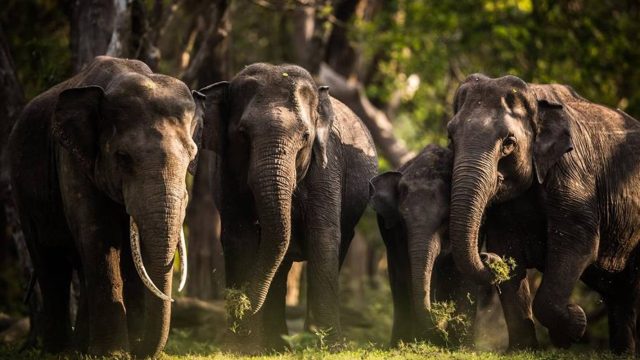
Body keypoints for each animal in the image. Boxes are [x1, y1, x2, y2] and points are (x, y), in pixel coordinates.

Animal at [9, 54, 205, 356]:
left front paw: (127, 349)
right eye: (123, 157)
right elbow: (98, 237)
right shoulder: (72, 161)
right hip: (23, 192)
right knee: (50, 264)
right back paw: (58, 351)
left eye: (192, 156)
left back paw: (80, 349)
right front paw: (113, 354)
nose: (142, 350)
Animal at [200, 63, 378, 350]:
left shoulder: (327, 165)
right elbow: (239, 238)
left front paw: (329, 349)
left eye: (305, 136)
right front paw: (241, 348)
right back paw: (276, 346)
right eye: (243, 134)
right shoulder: (225, 174)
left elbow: (323, 236)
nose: (241, 302)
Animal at [448, 74, 640, 354]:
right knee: (620, 293)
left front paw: (572, 329)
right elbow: (507, 248)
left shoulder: (573, 173)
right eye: (450, 138)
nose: (485, 256)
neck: (536, 99)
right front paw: (523, 350)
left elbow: (578, 243)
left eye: (509, 143)